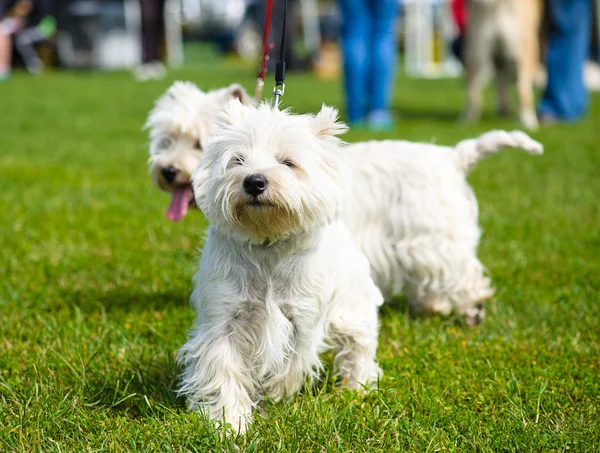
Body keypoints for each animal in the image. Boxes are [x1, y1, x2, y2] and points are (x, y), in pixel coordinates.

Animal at [178, 101, 384, 430]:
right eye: (237, 160)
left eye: (288, 162)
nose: (254, 181)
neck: (267, 244)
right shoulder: (223, 318)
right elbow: (224, 368)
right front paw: (230, 423)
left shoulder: (302, 317)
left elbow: (291, 363)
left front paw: (276, 395)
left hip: (350, 305)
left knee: (358, 344)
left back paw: (356, 388)